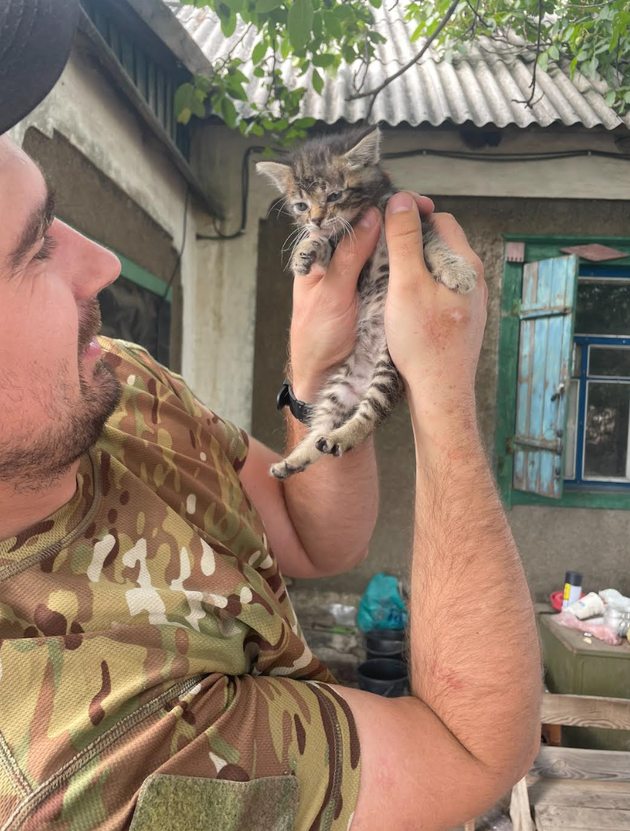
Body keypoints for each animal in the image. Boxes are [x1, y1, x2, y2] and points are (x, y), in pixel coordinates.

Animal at [256, 127, 474, 484]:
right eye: (301, 205)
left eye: (334, 196)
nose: (316, 220)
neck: (358, 217)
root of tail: (363, 374)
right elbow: (325, 246)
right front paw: (306, 251)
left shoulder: (417, 219)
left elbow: (436, 246)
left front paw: (458, 271)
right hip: (339, 388)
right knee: (326, 425)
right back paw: (297, 459)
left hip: (389, 369)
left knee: (369, 416)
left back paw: (337, 439)